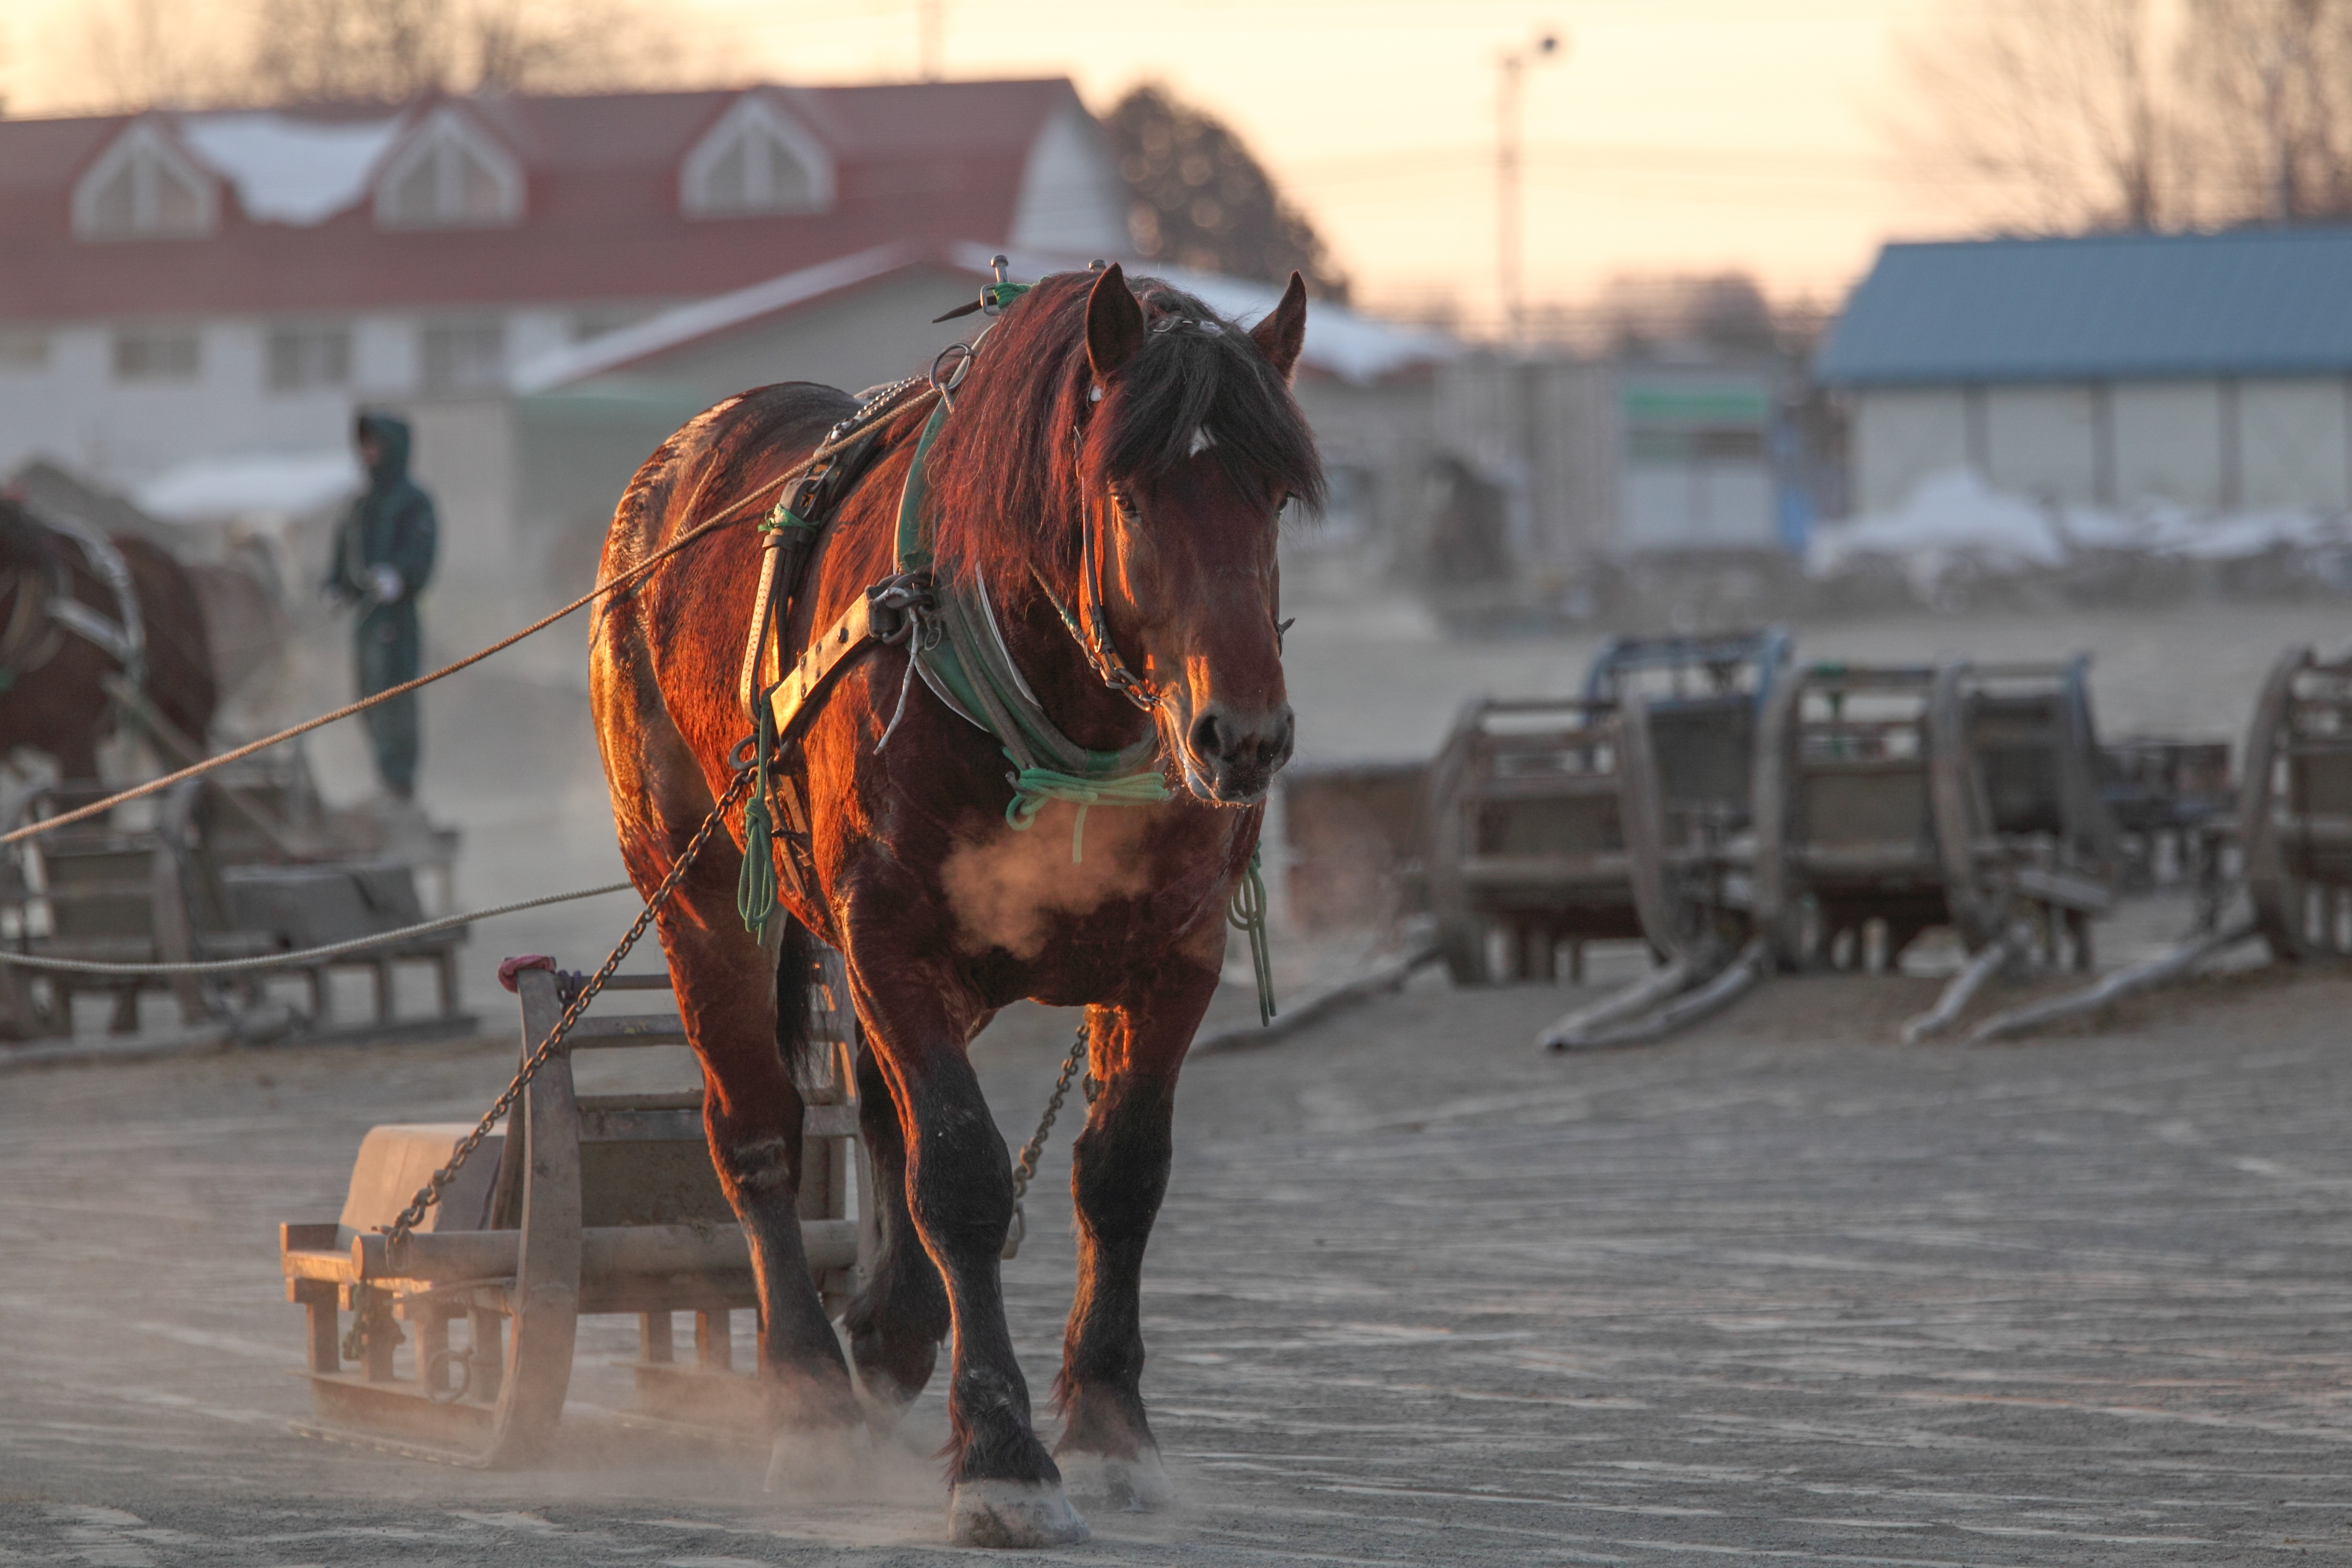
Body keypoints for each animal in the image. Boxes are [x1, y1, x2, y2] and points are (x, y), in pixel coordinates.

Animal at [588, 267, 1326, 1542]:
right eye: (1128, 494)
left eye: (1272, 493)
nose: (1242, 737)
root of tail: (678, 463)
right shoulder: (890, 935)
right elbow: (963, 1175)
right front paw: (1002, 1454)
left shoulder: (1173, 957)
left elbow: (1120, 1175)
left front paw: (1110, 1431)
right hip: (694, 890)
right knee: (757, 1130)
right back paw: (808, 1396)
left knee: (882, 1112)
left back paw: (891, 1330)